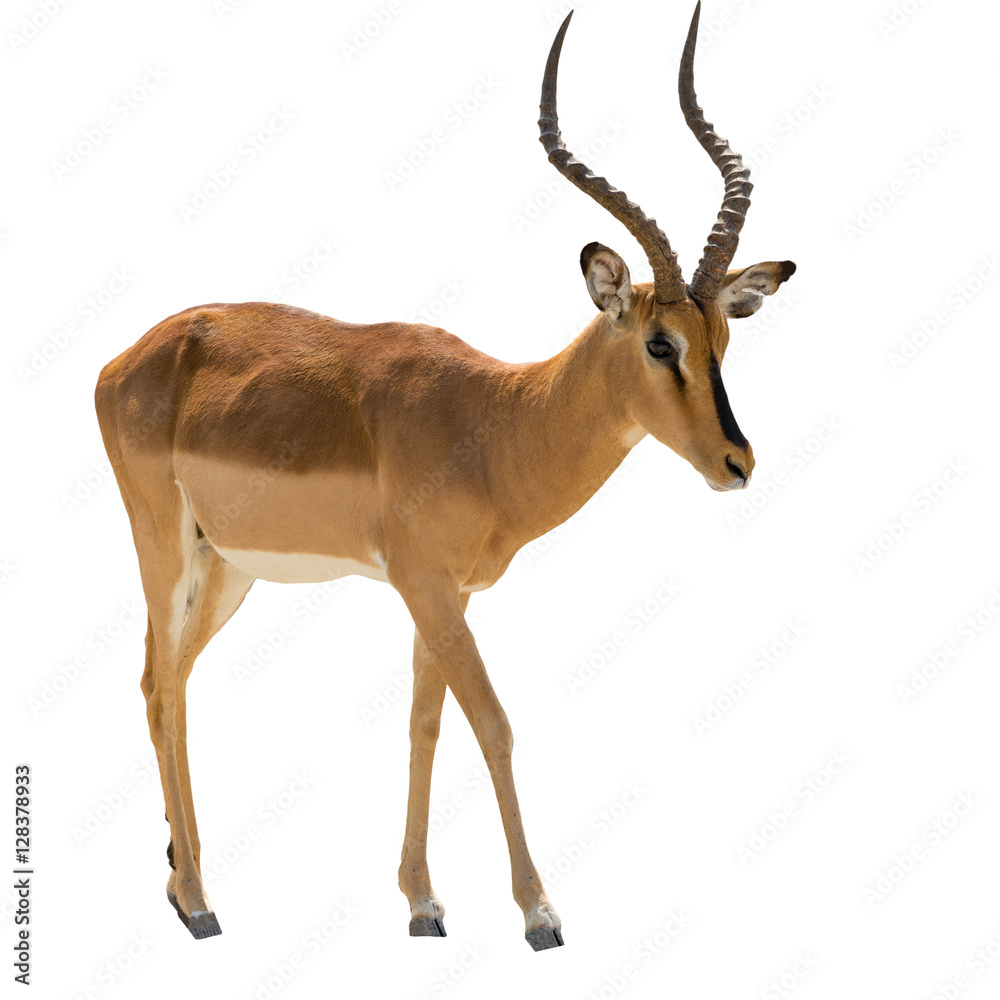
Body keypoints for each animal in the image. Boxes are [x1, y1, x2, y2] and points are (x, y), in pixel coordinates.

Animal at [95, 2, 795, 951]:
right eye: (660, 343)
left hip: (227, 568)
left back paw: (180, 883)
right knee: (165, 687)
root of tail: (135, 353)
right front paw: (539, 914)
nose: (737, 463)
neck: (494, 420)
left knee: (159, 681)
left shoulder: (443, 593)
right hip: (164, 548)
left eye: (722, 338)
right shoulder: (425, 586)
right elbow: (492, 722)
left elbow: (426, 725)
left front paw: (423, 903)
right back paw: (203, 904)